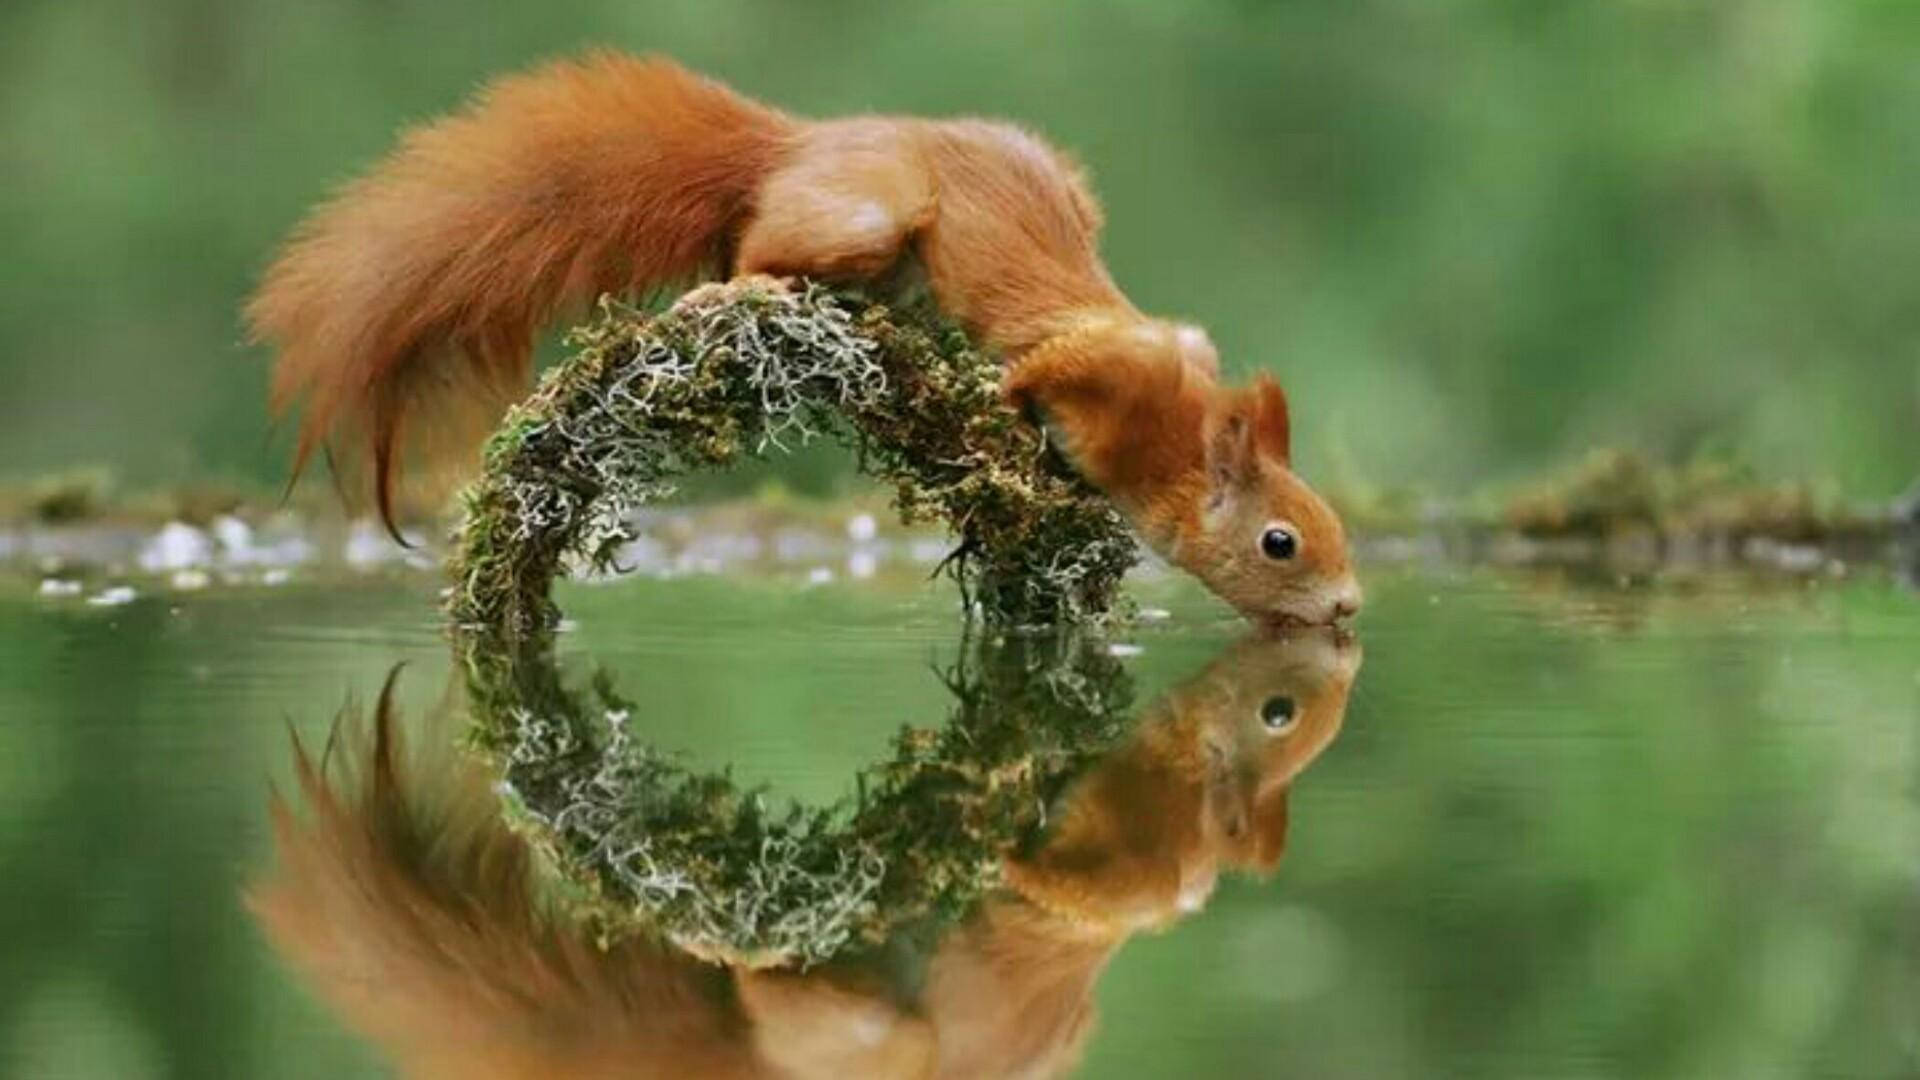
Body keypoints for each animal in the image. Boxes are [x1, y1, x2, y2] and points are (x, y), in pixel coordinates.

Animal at [247, 51, 1361, 627]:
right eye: (1281, 541)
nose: (1349, 609)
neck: (1176, 432)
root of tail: (804, 146)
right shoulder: (1109, 364)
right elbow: (1039, 373)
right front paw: (1008, 418)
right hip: (867, 215)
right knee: (753, 248)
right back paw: (734, 288)